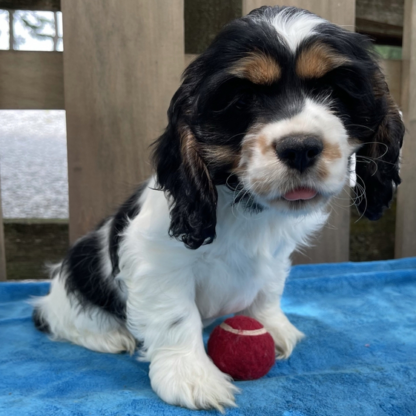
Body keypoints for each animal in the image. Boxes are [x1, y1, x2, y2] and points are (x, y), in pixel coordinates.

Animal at [32, 4, 404, 412]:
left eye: (334, 91)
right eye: (241, 100)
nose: (300, 147)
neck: (244, 204)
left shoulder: (275, 257)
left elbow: (267, 292)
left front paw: (274, 327)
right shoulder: (158, 263)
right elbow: (176, 317)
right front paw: (192, 377)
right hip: (78, 274)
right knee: (58, 315)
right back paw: (109, 335)